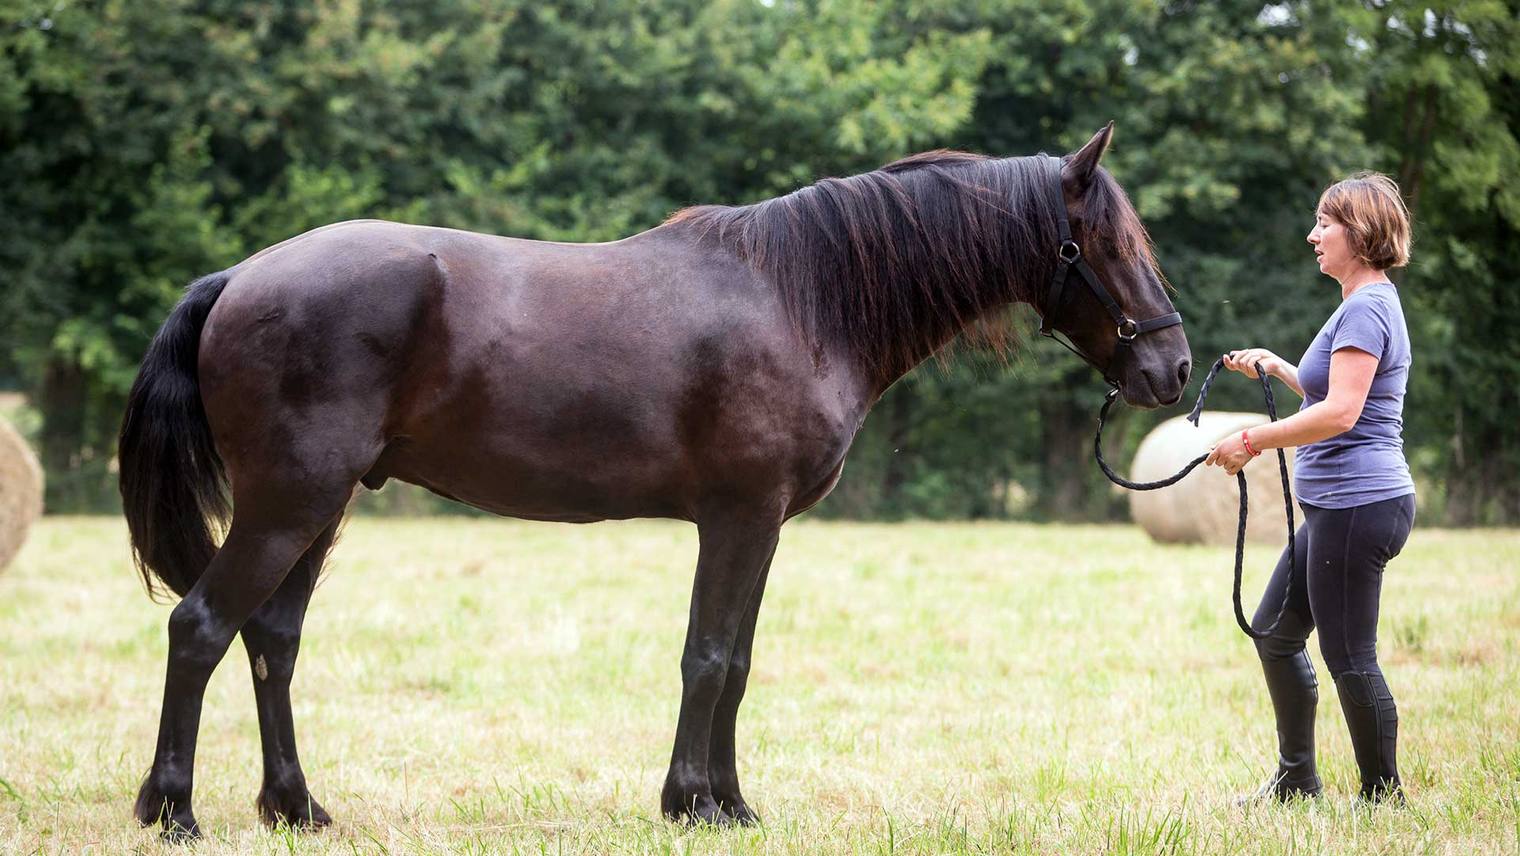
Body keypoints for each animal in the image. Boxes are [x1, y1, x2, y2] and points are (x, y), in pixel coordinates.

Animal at [118, 123, 1191, 840]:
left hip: (320, 507)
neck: (803, 299)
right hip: (289, 502)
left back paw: (296, 808)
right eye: (1104, 245)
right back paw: (172, 812)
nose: (1174, 371)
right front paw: (690, 804)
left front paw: (732, 801)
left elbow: (739, 663)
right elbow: (707, 658)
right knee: (202, 627)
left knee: (273, 639)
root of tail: (236, 278)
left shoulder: (764, 525)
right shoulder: (739, 517)